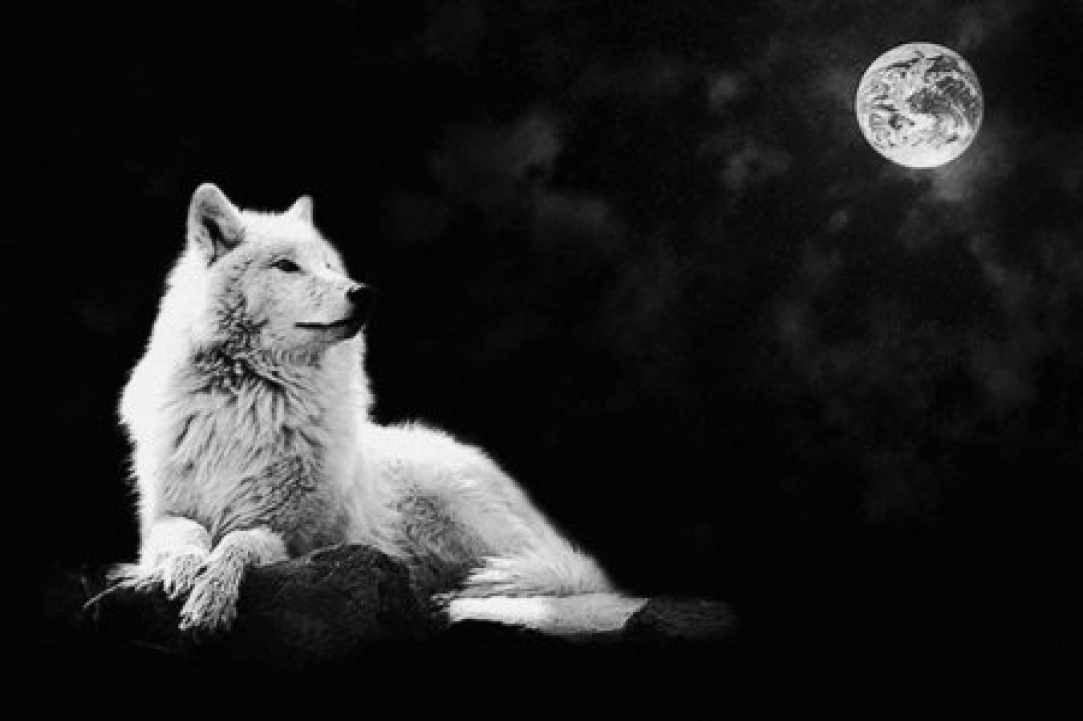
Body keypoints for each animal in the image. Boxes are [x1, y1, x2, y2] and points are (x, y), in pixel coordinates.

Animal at [113, 183, 645, 636]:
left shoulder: (297, 536)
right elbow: (184, 537)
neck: (253, 400)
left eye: (330, 265)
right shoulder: (163, 516)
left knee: (574, 582)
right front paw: (182, 575)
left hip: (454, 506)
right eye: (286, 266)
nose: (362, 292)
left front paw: (211, 597)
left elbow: (238, 545)